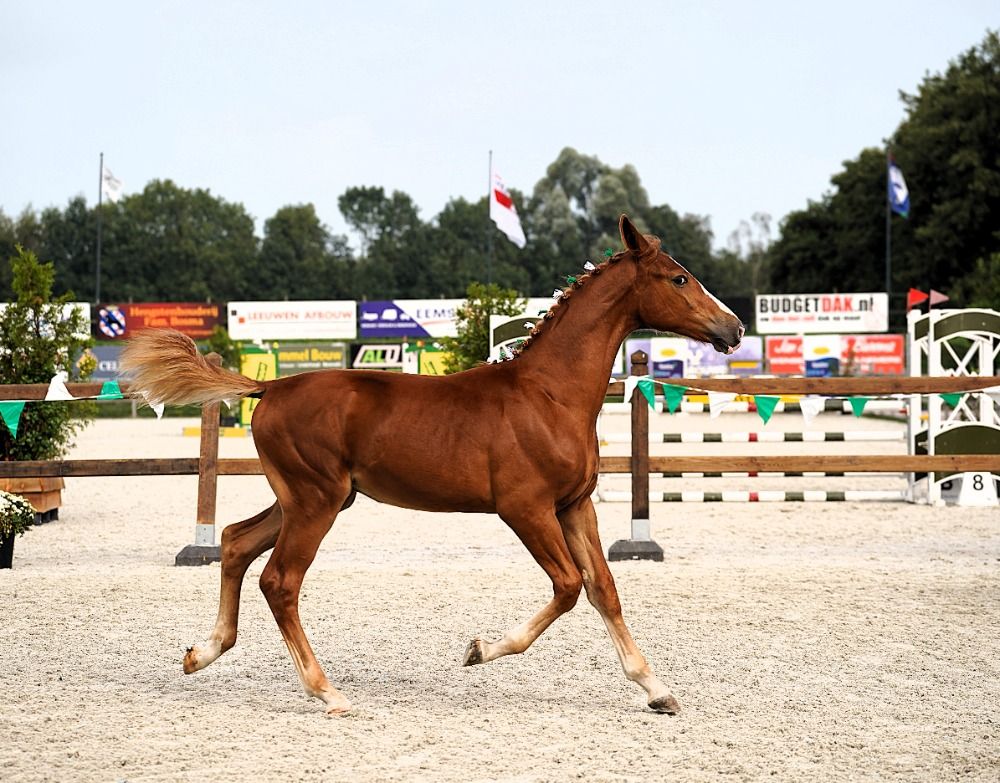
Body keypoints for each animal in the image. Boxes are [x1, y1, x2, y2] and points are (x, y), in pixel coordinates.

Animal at [120, 214, 744, 716]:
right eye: (679, 278)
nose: (734, 327)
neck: (550, 394)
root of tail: (269, 385)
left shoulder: (574, 505)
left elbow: (603, 589)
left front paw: (657, 690)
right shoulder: (524, 509)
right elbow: (568, 586)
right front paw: (479, 650)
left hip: (310, 498)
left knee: (234, 542)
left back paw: (202, 653)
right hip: (316, 501)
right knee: (280, 580)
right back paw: (327, 692)